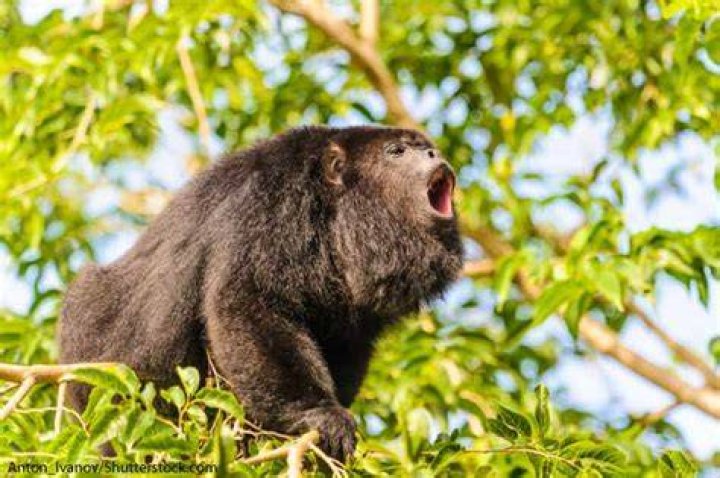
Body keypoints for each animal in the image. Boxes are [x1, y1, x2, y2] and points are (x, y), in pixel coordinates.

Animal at [59, 125, 463, 461]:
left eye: (426, 148)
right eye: (397, 151)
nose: (433, 154)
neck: (337, 213)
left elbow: (346, 342)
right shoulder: (269, 203)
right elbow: (248, 304)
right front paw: (318, 414)